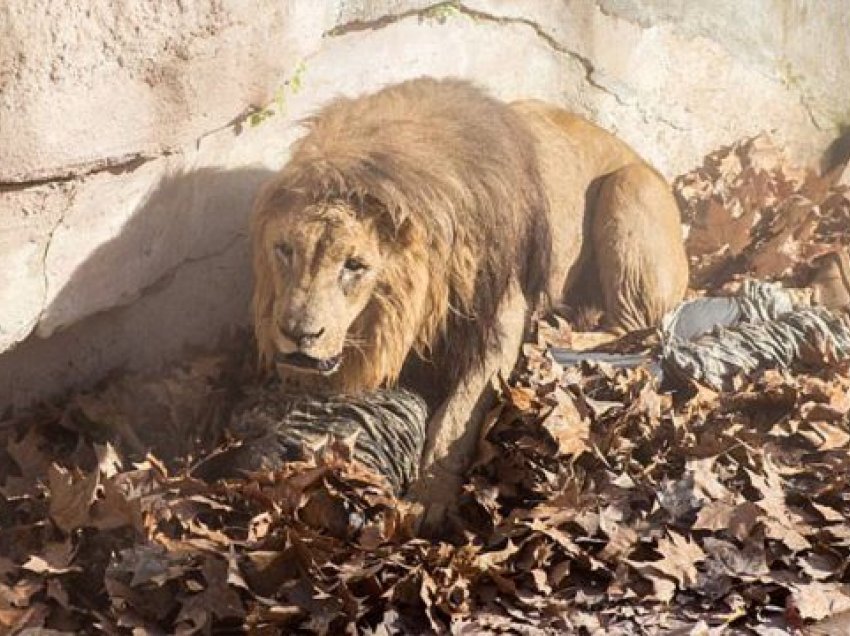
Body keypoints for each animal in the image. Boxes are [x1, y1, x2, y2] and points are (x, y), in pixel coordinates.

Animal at [252, 78, 688, 528]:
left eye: (355, 265)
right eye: (285, 250)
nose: (296, 334)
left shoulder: (500, 317)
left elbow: (457, 414)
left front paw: (429, 496)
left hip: (631, 186)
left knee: (637, 328)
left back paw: (554, 336)